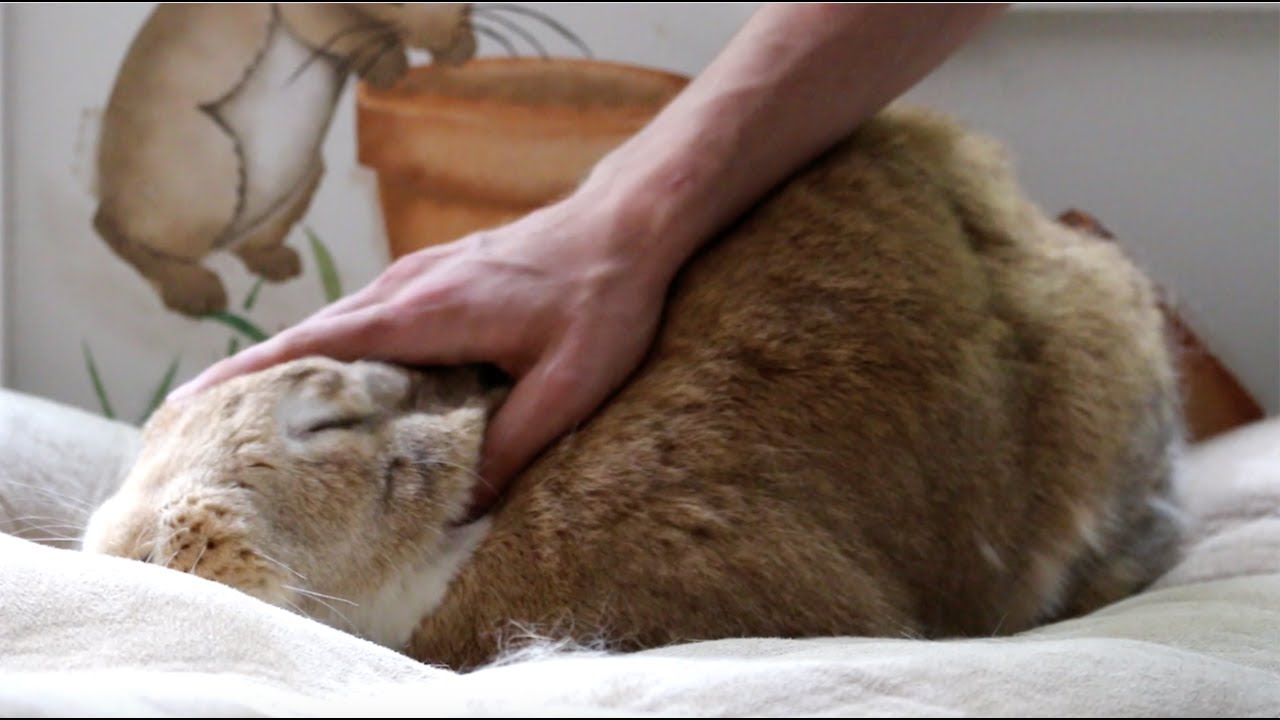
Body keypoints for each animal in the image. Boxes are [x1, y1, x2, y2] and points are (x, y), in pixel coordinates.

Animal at [91, 3, 477, 316]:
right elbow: (354, 30)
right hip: (204, 191)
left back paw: (279, 265)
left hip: (299, 183)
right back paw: (197, 293)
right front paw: (392, 69)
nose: (441, 38)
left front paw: (461, 49)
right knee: (124, 238)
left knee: (246, 245)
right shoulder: (317, 14)